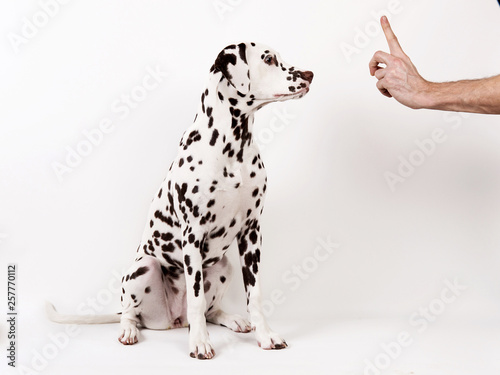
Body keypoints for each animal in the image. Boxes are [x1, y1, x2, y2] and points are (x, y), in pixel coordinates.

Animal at [47, 41, 312, 362]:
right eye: (269, 59)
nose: (310, 74)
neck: (232, 148)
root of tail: (175, 319)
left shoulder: (251, 233)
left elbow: (255, 295)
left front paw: (265, 336)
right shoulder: (193, 235)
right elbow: (196, 299)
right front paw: (199, 343)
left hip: (224, 265)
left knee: (211, 310)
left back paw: (232, 319)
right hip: (143, 267)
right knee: (132, 312)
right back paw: (130, 330)